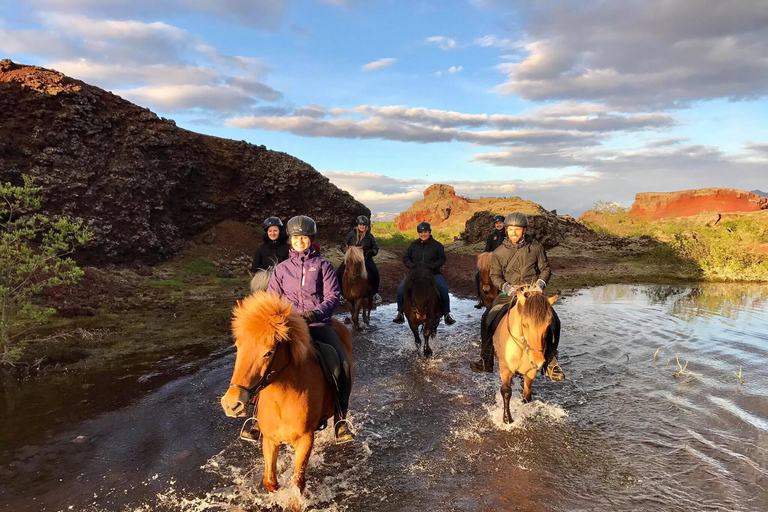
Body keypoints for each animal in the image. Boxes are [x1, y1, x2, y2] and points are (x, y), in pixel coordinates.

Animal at [219, 292, 354, 496]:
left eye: (268, 352)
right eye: (237, 346)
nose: (232, 404)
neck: (282, 400)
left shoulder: (305, 440)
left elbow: (297, 483)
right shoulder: (270, 440)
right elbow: (270, 482)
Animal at [496, 284, 560, 424]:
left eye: (547, 326)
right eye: (525, 325)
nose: (538, 361)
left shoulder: (531, 371)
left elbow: (527, 393)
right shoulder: (505, 368)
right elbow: (506, 391)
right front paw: (507, 419)